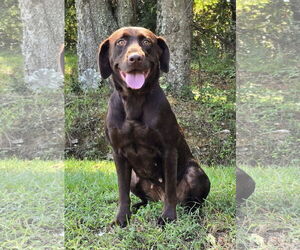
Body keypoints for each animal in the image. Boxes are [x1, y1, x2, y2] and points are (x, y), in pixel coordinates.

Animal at [97, 26, 210, 227]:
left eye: (146, 42)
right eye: (120, 42)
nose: (135, 58)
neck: (134, 101)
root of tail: (157, 197)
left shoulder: (168, 151)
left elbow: (171, 190)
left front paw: (168, 217)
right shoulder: (118, 153)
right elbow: (122, 191)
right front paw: (122, 218)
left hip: (194, 172)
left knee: (192, 203)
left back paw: (192, 214)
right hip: (135, 179)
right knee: (145, 199)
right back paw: (138, 207)